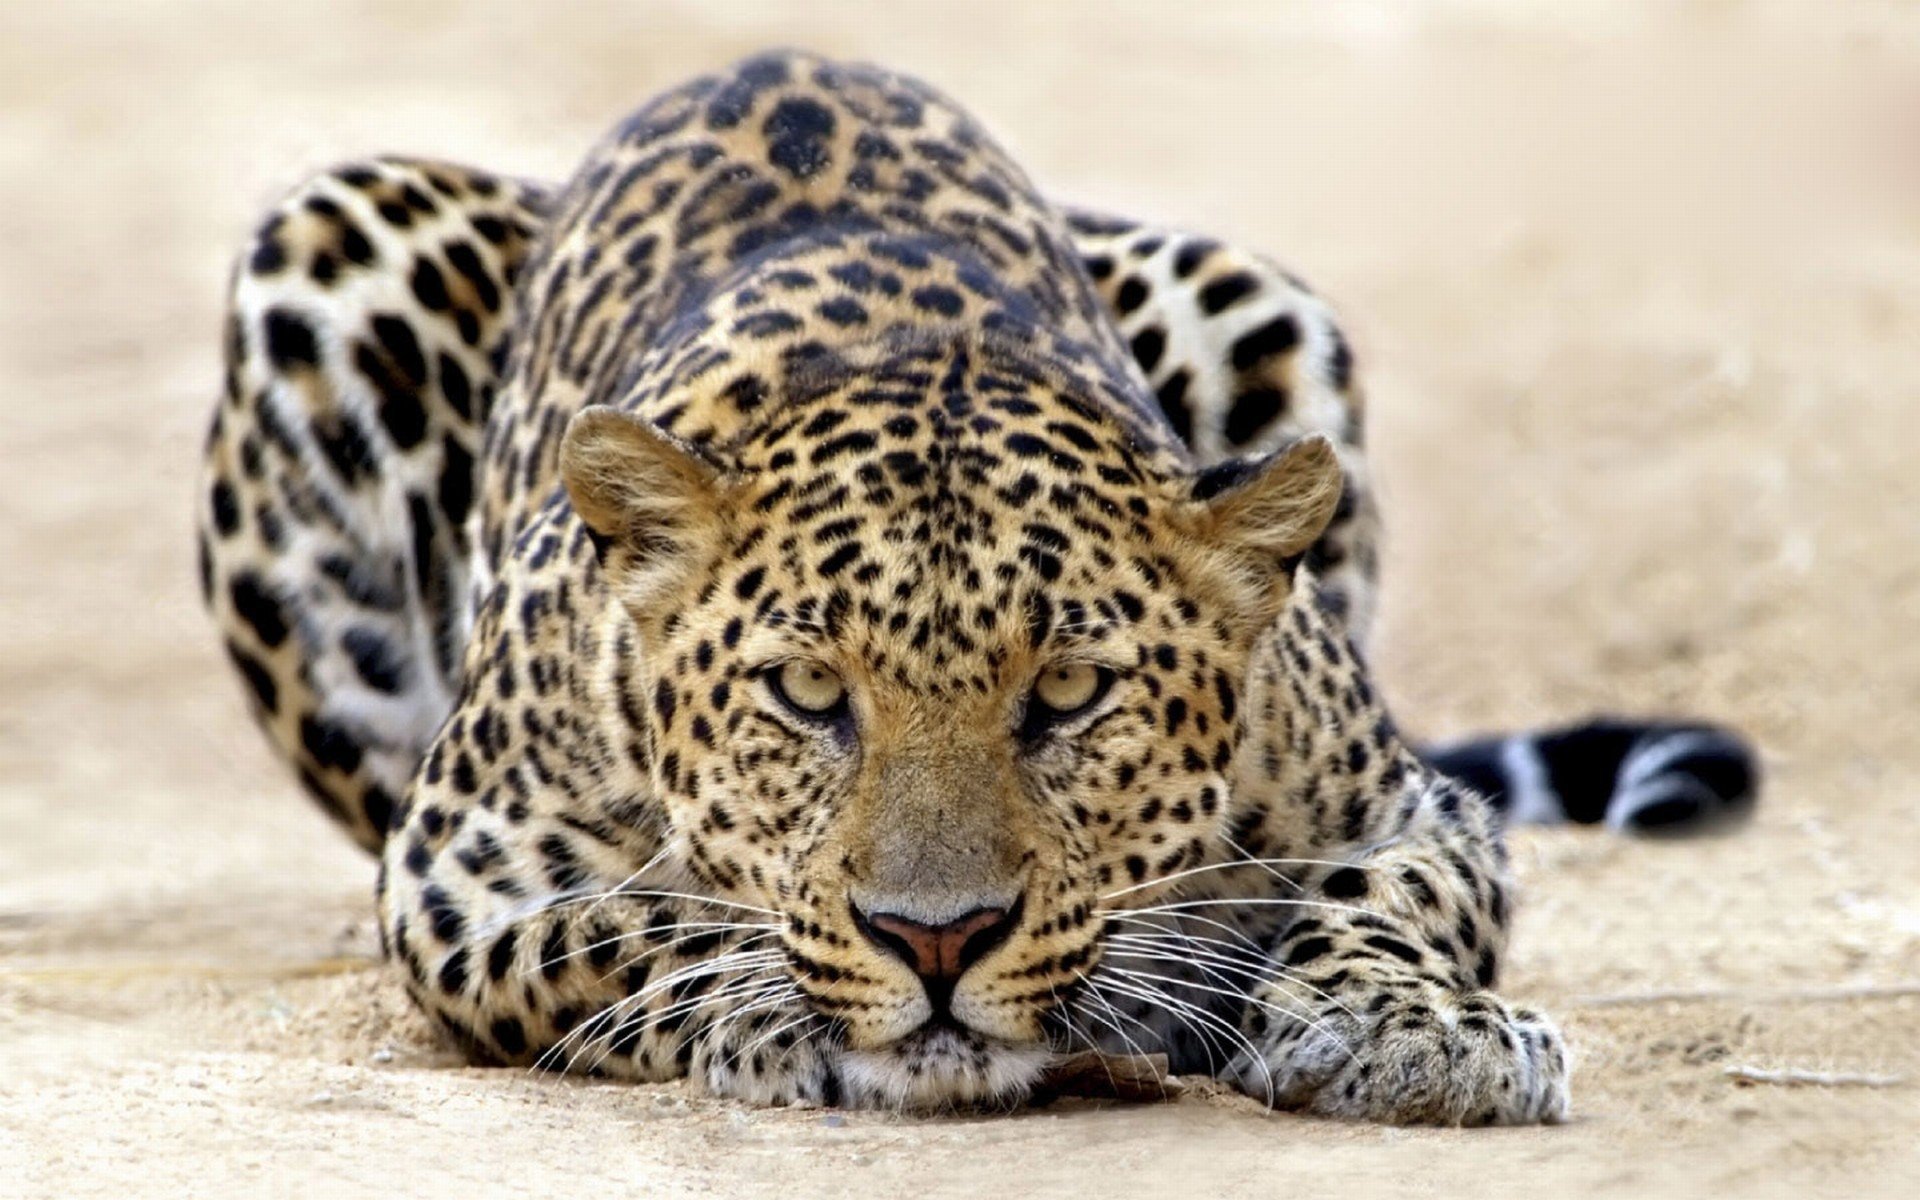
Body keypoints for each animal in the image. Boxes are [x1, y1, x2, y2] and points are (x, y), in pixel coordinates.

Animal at [197, 50, 1758, 1123]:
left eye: (1068, 694)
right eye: (806, 693)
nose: (935, 941)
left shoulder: (1408, 806)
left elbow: (1385, 898)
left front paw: (1413, 1029)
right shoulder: (458, 871)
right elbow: (638, 925)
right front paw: (774, 1007)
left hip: (1250, 290)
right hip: (324, 244)